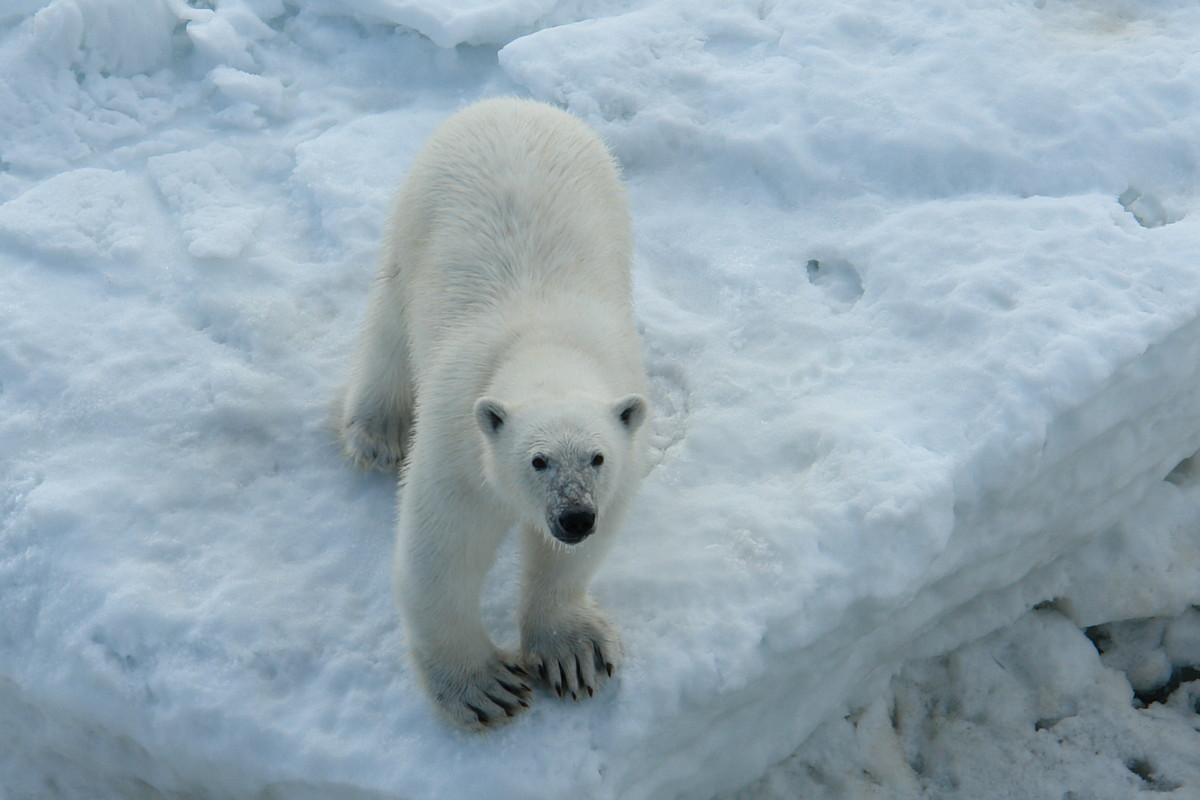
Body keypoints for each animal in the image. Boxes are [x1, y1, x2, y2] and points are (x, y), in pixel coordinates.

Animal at [338, 97, 652, 729]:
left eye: (598, 457)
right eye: (537, 460)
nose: (575, 518)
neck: (544, 344)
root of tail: (507, 103)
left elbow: (570, 562)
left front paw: (573, 652)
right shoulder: (459, 441)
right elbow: (443, 552)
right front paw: (483, 687)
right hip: (416, 211)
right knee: (388, 321)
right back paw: (377, 431)